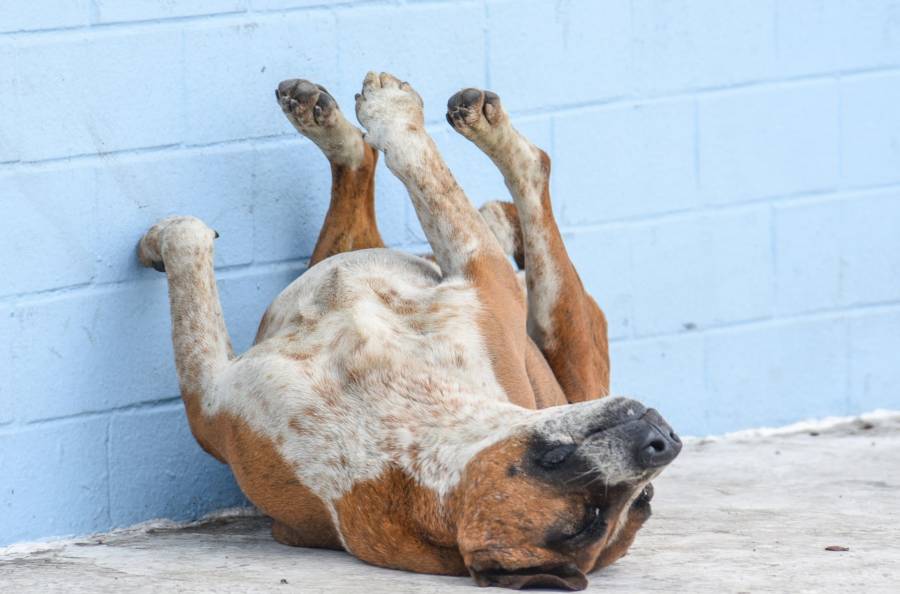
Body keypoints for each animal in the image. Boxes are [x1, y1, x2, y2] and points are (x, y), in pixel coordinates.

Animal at [137, 70, 680, 588]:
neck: (409, 435)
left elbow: (421, 168)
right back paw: (327, 120)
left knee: (531, 176)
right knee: (364, 168)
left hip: (561, 319)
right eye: (641, 501)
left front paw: (393, 112)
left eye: (600, 517)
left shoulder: (208, 394)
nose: (663, 443)